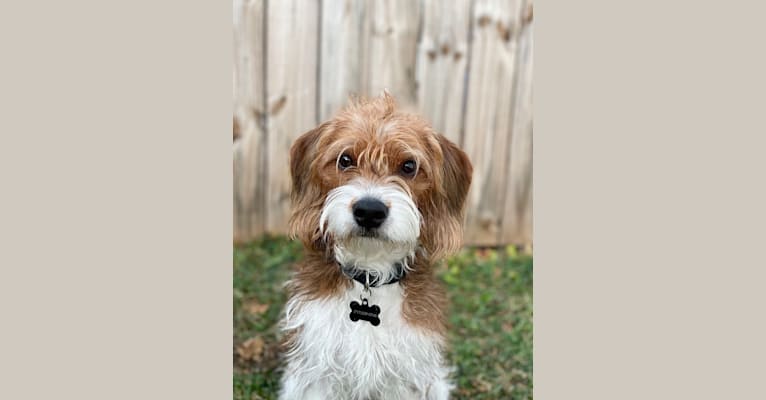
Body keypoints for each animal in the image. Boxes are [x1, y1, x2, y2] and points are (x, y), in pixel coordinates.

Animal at [280, 92, 474, 398]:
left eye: (409, 166)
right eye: (345, 160)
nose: (369, 211)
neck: (370, 274)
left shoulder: (405, 377)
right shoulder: (318, 371)